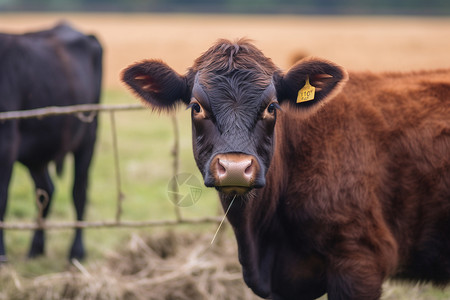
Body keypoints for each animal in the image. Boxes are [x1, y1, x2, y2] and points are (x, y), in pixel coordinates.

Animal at [0, 22, 102, 262]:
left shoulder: (6, 146)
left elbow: (1, 199)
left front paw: (1, 255)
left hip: (88, 137)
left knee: (79, 192)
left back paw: (76, 251)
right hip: (36, 152)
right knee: (46, 190)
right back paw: (36, 248)